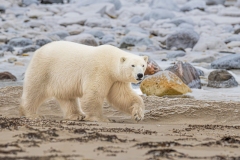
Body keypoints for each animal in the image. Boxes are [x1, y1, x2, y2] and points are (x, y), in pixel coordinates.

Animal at [20, 40, 148, 122]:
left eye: (143, 65)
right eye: (132, 65)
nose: (140, 75)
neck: (109, 62)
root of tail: (38, 50)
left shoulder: (117, 80)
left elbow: (122, 96)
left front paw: (138, 114)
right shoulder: (99, 70)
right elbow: (94, 93)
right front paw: (100, 118)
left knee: (68, 97)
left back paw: (77, 115)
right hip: (44, 69)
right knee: (35, 91)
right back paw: (32, 114)